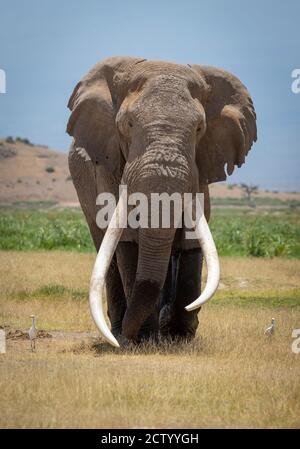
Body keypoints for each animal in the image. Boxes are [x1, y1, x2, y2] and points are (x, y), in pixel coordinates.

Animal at [67, 56, 256, 348]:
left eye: (199, 128)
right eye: (128, 125)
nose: (130, 336)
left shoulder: (201, 166)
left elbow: (191, 237)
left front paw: (180, 336)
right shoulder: (109, 164)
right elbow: (128, 238)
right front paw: (142, 341)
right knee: (106, 247)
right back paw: (120, 331)